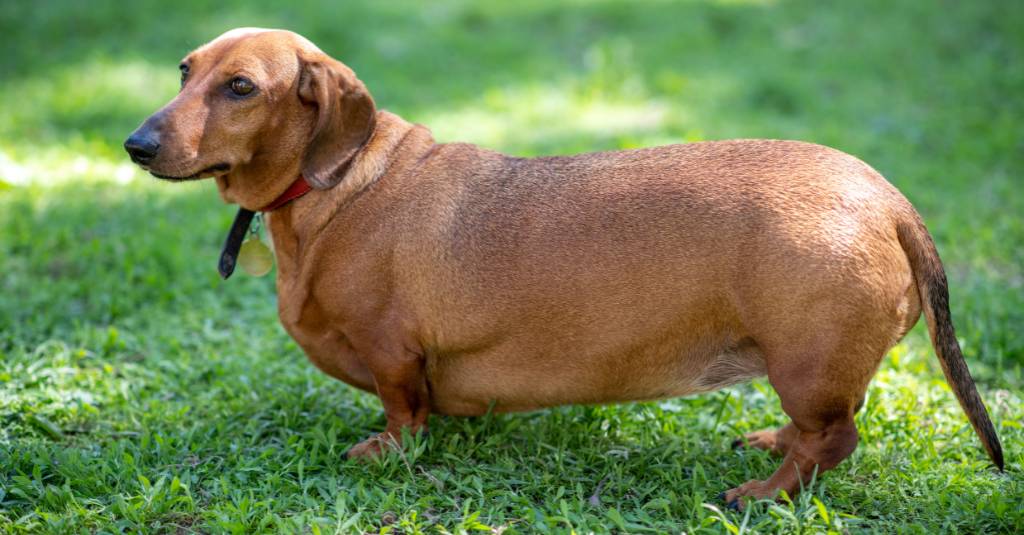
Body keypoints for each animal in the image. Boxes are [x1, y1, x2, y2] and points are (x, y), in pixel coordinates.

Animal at [123, 28, 1003, 504]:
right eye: (184, 70)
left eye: (241, 87)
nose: (135, 144)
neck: (338, 187)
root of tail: (886, 196)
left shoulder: (393, 353)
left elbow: (404, 413)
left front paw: (385, 451)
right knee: (821, 429)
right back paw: (769, 443)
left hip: (806, 362)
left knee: (835, 438)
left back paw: (762, 493)